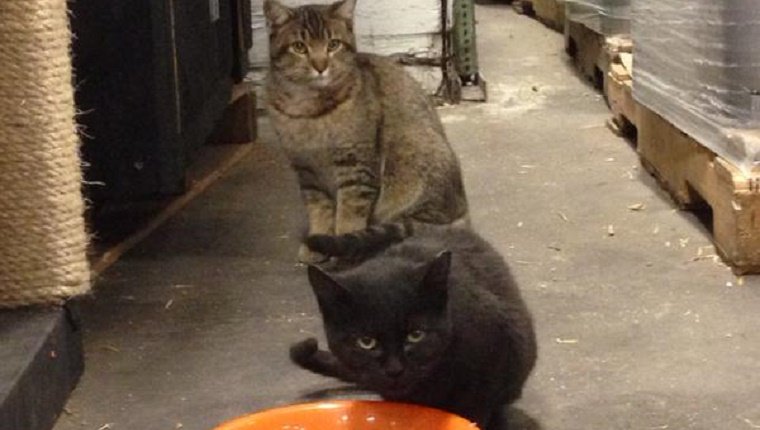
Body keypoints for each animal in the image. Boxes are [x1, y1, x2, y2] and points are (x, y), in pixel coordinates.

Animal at [266, 0, 470, 262]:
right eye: (299, 47)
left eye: (333, 44)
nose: (321, 66)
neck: (309, 110)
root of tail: (463, 213)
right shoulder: (306, 170)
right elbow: (319, 210)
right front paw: (317, 240)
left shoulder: (357, 166)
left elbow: (349, 215)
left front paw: (340, 244)